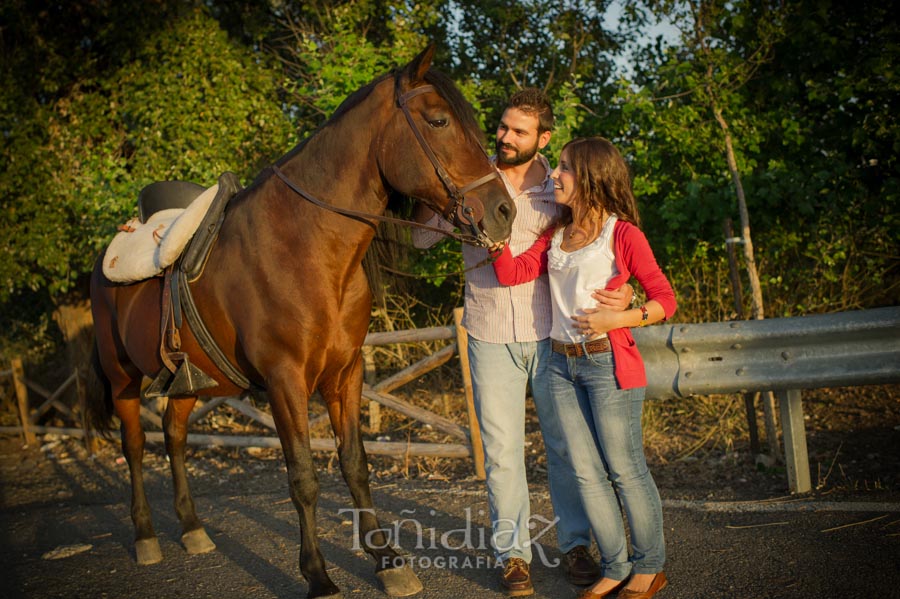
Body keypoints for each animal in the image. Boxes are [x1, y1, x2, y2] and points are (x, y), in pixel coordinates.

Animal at [88, 47, 516, 599]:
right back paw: (146, 536)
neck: (306, 247)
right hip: (121, 376)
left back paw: (193, 528)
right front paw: (317, 575)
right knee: (136, 446)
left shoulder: (345, 374)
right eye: (439, 120)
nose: (504, 212)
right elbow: (304, 478)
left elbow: (355, 465)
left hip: (187, 382)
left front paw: (387, 560)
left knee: (175, 437)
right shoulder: (285, 381)